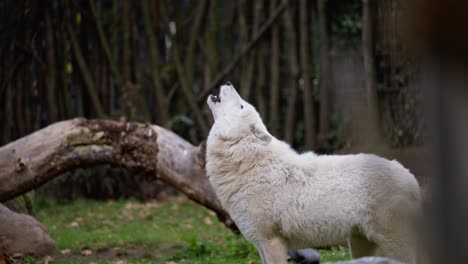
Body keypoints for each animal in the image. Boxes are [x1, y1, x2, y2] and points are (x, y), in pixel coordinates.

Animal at [205, 82, 420, 264]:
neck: (249, 163)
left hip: (390, 242)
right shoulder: (260, 245)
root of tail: (411, 177)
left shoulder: (271, 241)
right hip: (360, 243)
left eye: (241, 105)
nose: (229, 82)